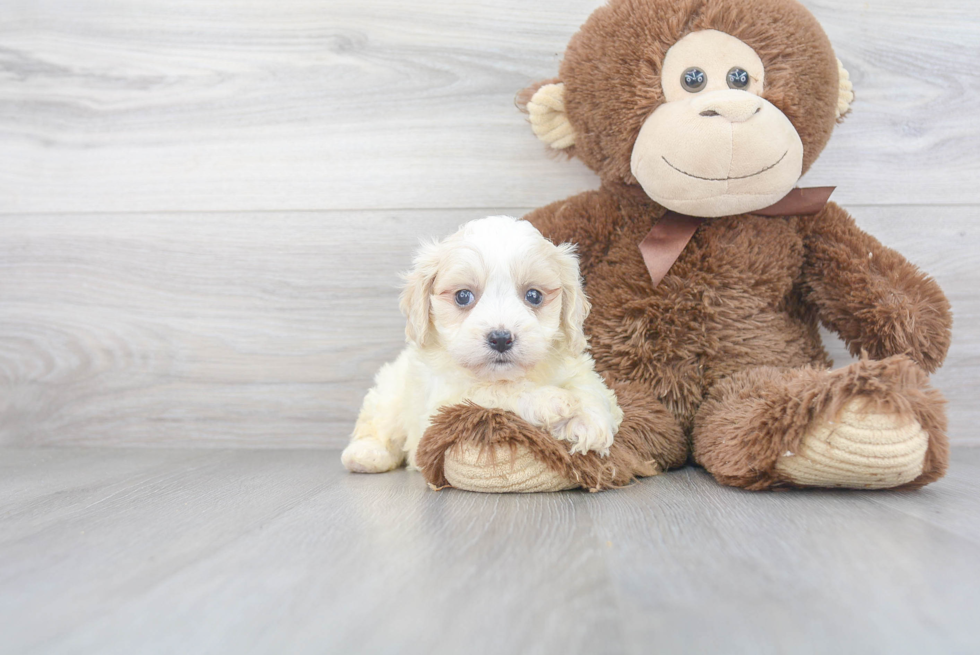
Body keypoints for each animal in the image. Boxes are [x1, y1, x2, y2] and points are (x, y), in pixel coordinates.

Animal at [340, 217, 624, 476]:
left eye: (534, 296)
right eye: (463, 296)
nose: (500, 338)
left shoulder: (576, 365)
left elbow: (590, 388)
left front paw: (590, 423)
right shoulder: (445, 404)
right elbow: (497, 392)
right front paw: (551, 401)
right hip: (390, 393)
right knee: (377, 423)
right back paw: (366, 455)